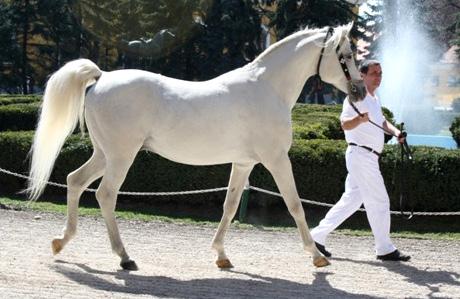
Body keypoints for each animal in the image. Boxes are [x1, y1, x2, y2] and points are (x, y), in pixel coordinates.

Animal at [28, 23, 364, 272]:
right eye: (347, 55)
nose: (360, 91)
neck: (266, 88)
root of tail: (102, 77)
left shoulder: (244, 163)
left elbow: (230, 206)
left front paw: (221, 256)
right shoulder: (277, 159)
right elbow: (295, 205)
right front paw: (316, 255)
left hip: (104, 154)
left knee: (75, 181)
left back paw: (61, 242)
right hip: (121, 156)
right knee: (105, 194)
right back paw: (125, 258)